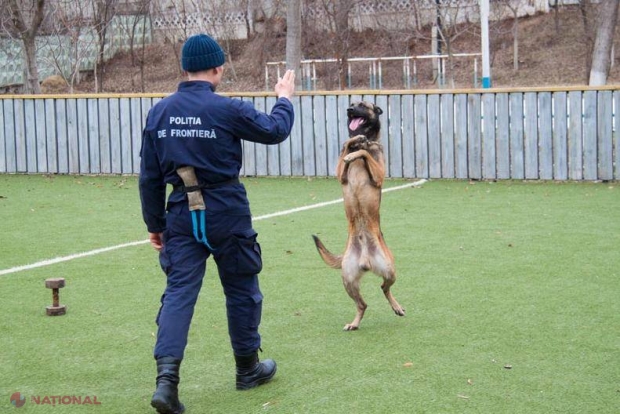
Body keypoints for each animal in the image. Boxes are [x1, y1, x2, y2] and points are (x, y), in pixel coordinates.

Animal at [312, 99, 404, 330]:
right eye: (351, 103)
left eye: (362, 105)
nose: (349, 110)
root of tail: (365, 259)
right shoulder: (340, 174)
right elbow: (347, 146)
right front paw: (353, 143)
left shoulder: (378, 175)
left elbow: (364, 153)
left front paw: (356, 152)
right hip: (348, 279)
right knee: (364, 304)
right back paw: (354, 323)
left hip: (389, 270)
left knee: (384, 288)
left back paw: (397, 307)